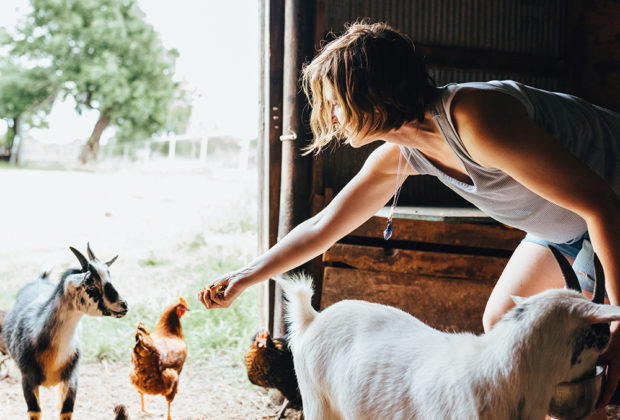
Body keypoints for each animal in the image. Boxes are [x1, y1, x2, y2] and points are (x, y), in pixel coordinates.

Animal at [1, 243, 128, 420]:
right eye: (91, 286)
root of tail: (41, 278)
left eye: (109, 278)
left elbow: (65, 410)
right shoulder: (27, 379)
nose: (124, 305)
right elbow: (35, 411)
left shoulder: (71, 378)